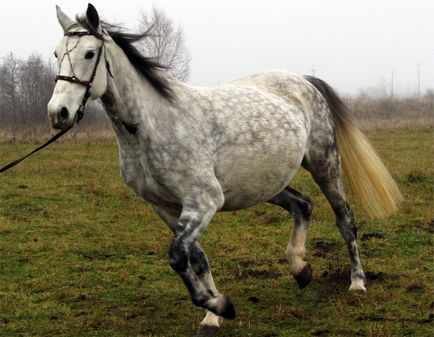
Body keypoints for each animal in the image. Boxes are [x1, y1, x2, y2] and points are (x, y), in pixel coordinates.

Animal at [48, 3, 404, 334]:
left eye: (89, 53)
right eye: (56, 53)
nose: (58, 113)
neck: (153, 126)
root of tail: (304, 80)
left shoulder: (203, 201)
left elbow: (177, 256)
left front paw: (219, 306)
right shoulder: (166, 207)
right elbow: (195, 258)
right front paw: (212, 315)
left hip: (324, 165)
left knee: (345, 220)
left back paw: (357, 282)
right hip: (265, 184)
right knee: (303, 205)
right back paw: (300, 269)